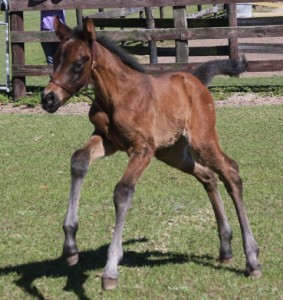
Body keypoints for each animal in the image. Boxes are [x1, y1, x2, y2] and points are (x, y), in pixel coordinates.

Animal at [40, 17, 262, 290]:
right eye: (55, 59)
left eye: (78, 63)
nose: (48, 98)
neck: (118, 95)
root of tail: (195, 80)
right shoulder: (107, 140)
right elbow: (78, 160)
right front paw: (70, 246)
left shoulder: (143, 148)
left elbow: (123, 191)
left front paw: (111, 268)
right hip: (173, 153)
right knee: (208, 176)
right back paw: (226, 248)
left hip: (203, 141)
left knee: (230, 171)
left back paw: (252, 259)